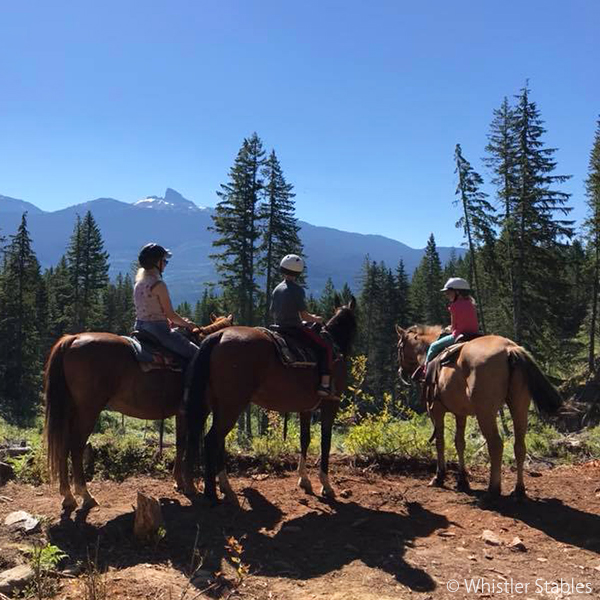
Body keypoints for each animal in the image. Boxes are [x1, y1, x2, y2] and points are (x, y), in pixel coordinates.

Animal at [42, 314, 233, 510]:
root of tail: (73, 339)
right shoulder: (198, 411)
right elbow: (197, 445)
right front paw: (192, 485)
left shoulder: (180, 413)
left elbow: (180, 444)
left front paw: (179, 482)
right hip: (88, 410)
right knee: (76, 446)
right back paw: (85, 495)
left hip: (70, 409)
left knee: (63, 445)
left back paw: (68, 496)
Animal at [183, 298, 356, 504]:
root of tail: (219, 336)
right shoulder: (331, 404)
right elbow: (325, 442)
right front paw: (326, 485)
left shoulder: (305, 408)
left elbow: (304, 439)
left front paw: (304, 480)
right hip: (231, 406)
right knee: (211, 440)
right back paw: (212, 494)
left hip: (212, 404)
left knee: (203, 438)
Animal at [396, 326, 560, 500]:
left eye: (399, 346)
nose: (401, 371)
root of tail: (509, 349)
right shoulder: (460, 413)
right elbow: (460, 443)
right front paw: (462, 480)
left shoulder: (436, 411)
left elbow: (440, 442)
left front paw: (439, 476)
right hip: (519, 407)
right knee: (520, 446)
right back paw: (519, 490)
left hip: (485, 413)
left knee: (496, 445)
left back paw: (493, 489)